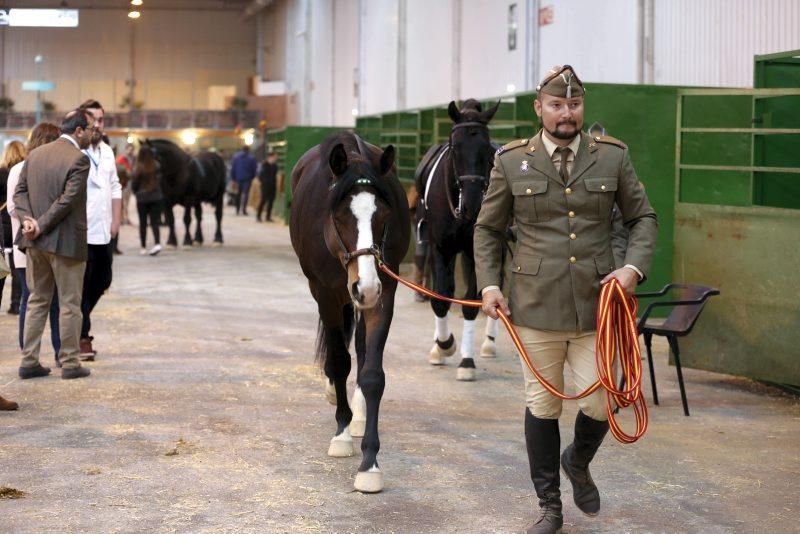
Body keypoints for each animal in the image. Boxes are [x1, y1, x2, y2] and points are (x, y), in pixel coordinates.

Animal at [290, 132, 410, 496]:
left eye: (383, 215)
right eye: (341, 216)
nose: (365, 285)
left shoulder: (384, 293)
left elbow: (372, 374)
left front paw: (370, 464)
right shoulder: (326, 295)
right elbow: (339, 362)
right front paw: (341, 435)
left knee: (358, 345)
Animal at [412, 100, 500, 384]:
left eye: (485, 148)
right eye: (455, 148)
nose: (473, 205)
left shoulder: (474, 252)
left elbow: (472, 302)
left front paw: (467, 362)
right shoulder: (441, 248)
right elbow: (440, 298)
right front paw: (444, 345)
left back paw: (489, 344)